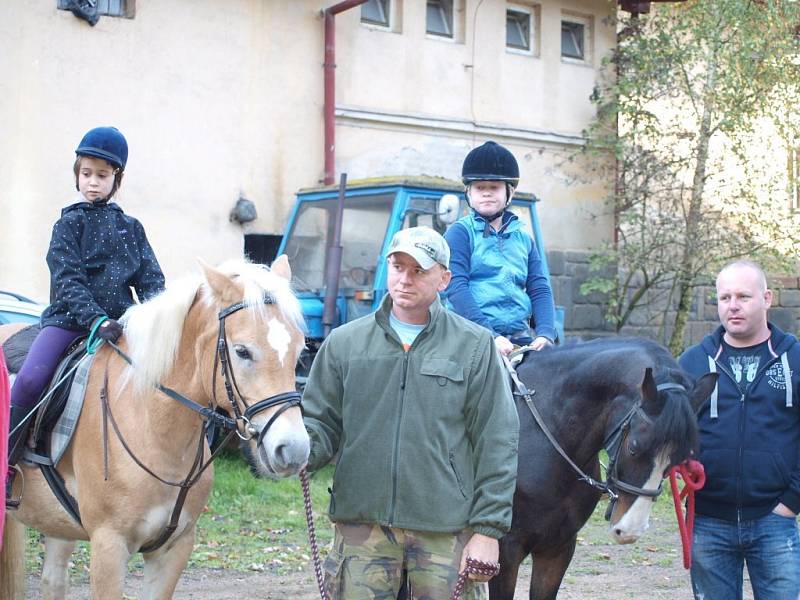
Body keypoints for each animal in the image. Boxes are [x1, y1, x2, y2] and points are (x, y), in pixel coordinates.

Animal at [0, 258, 310, 600]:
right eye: (242, 351)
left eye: (299, 351)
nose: (293, 449)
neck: (153, 428)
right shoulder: (108, 546)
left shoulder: (174, 549)